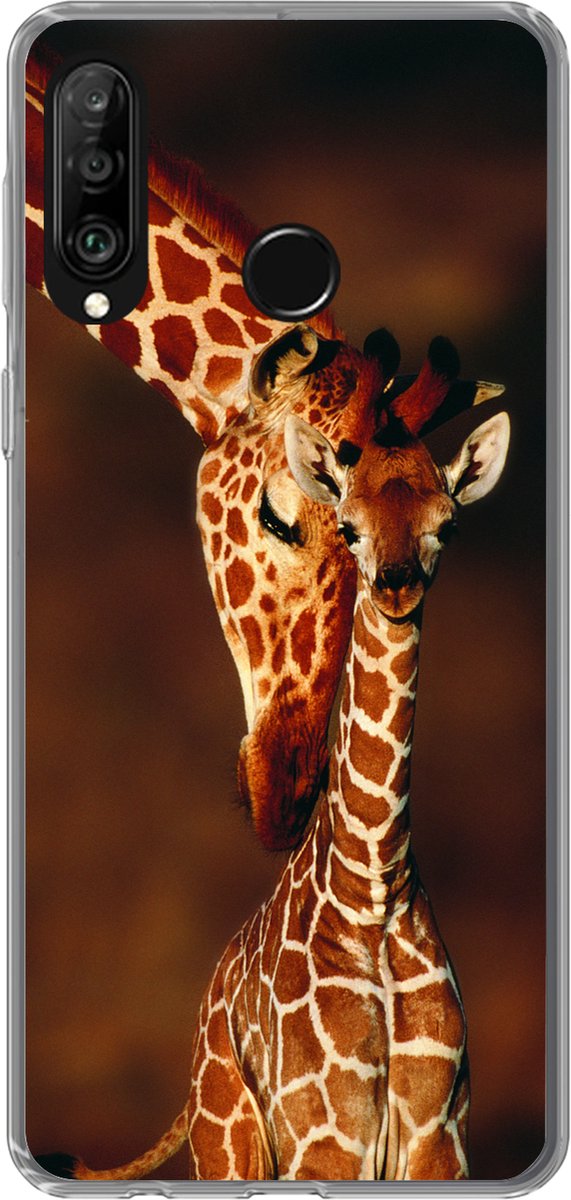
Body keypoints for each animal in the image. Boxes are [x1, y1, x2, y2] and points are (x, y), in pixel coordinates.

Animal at [51, 358, 510, 1183]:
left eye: (447, 524)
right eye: (349, 525)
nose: (396, 584)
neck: (374, 887)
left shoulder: (440, 1140)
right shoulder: (325, 1139)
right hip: (230, 1143)